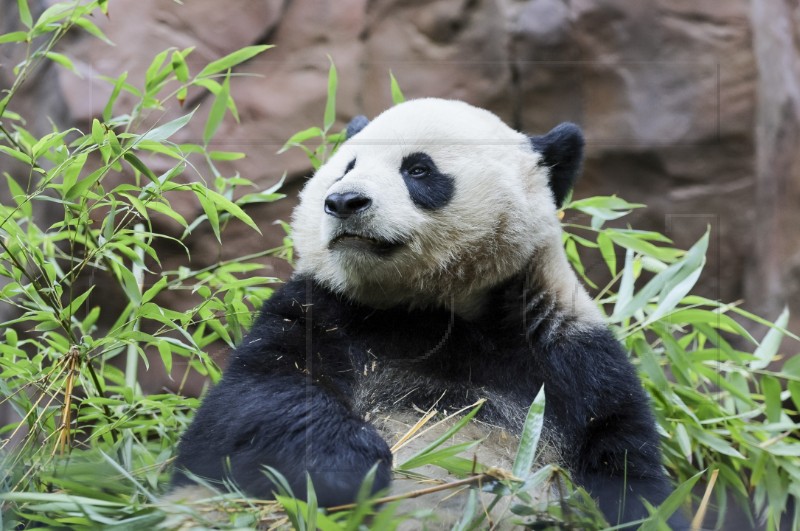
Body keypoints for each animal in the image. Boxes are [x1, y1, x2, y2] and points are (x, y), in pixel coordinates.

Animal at [169, 98, 688, 528]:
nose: (344, 201)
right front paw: (351, 464)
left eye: (418, 169)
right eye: (346, 167)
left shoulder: (567, 350)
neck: (430, 306)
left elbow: (624, 467)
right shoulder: (319, 310)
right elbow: (248, 408)